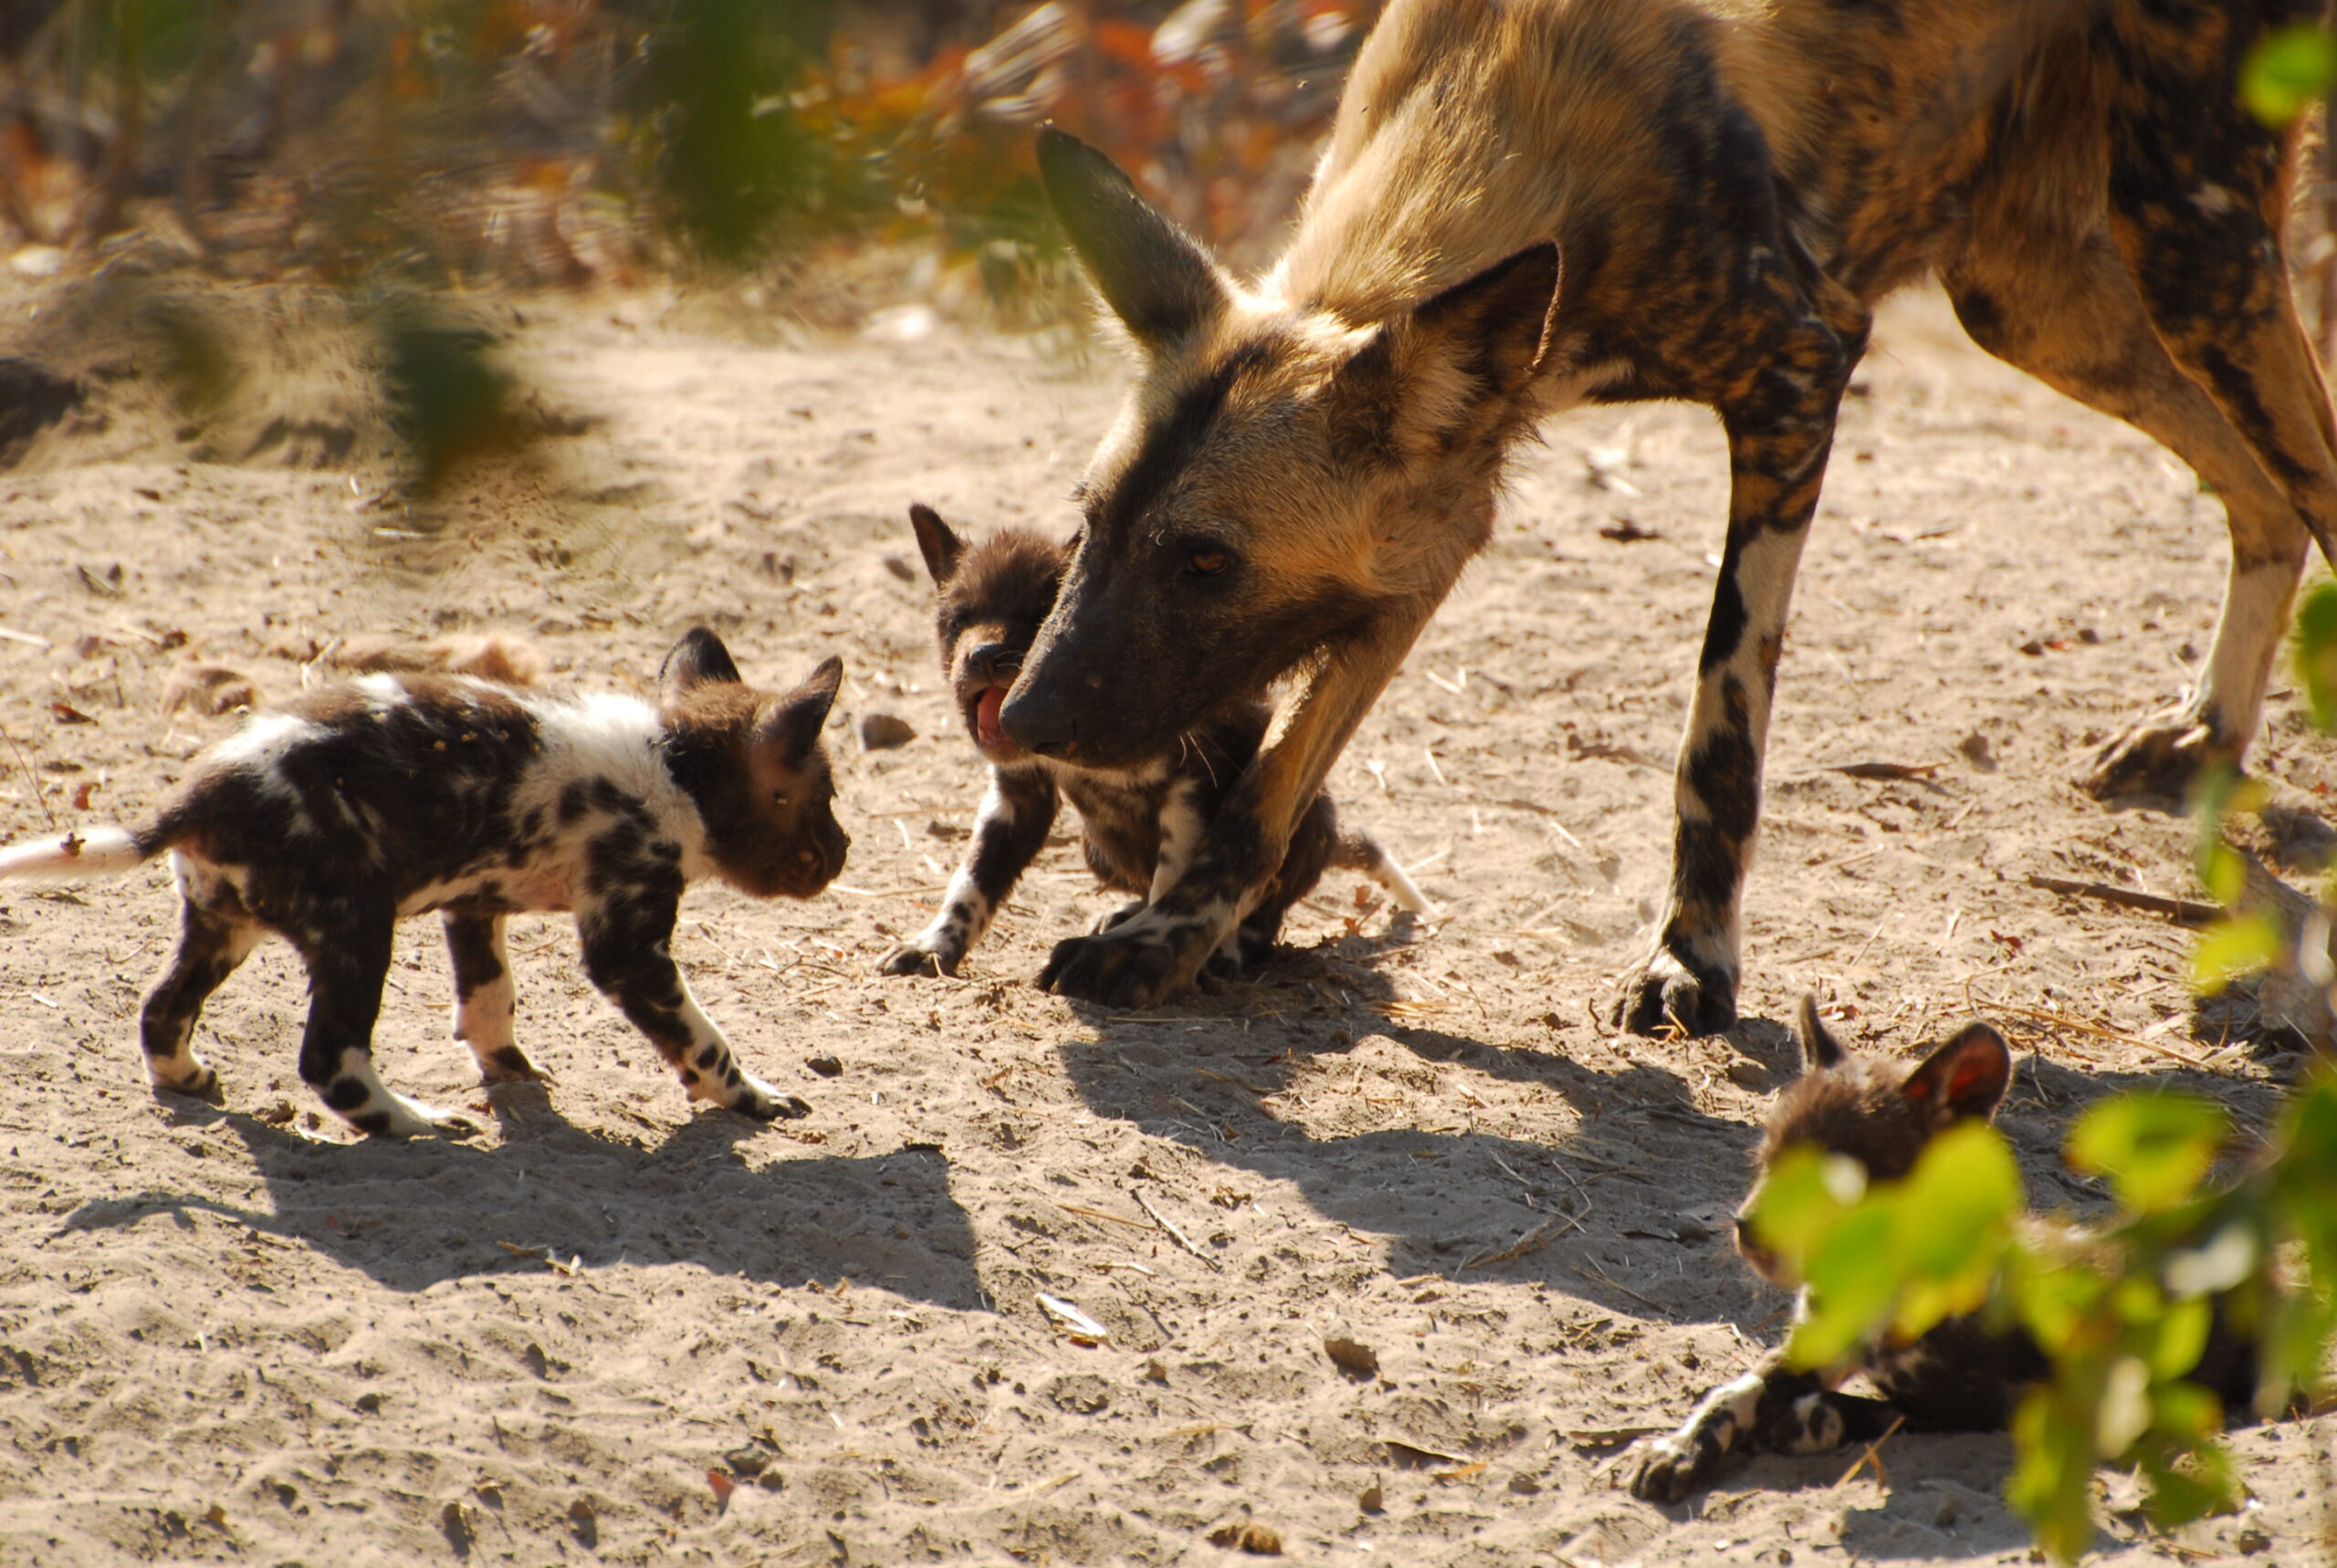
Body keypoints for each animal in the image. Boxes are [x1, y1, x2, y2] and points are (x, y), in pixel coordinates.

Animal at [0, 631, 854, 1140]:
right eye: (826, 798)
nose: (847, 850)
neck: (677, 766)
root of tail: (204, 789)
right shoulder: (629, 948)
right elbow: (706, 1042)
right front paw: (753, 1098)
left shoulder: (474, 908)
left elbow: (489, 1001)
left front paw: (511, 1073)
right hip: (357, 933)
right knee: (329, 1061)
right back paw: (415, 1122)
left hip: (222, 928)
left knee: (160, 1011)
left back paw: (189, 1079)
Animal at [1000, 0, 2337, 1023]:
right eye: (1091, 525)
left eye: (1205, 561)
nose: (1022, 718)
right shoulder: (1440, 518)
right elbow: (1268, 785)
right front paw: (1175, 930)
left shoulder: (1797, 376)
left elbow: (1718, 735)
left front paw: (1693, 959)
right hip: (2038, 299)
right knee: (2260, 498)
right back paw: (2204, 733)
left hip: (2193, 246)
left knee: (2306, 478)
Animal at [1626, 999, 2262, 1504]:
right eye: (1765, 1162)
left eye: (1839, 1182)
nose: (1747, 1231)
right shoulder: (1811, 1345)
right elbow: (1731, 1393)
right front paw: (1678, 1449)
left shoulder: (2001, 1404)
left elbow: (1886, 1412)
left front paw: (1808, 1420)